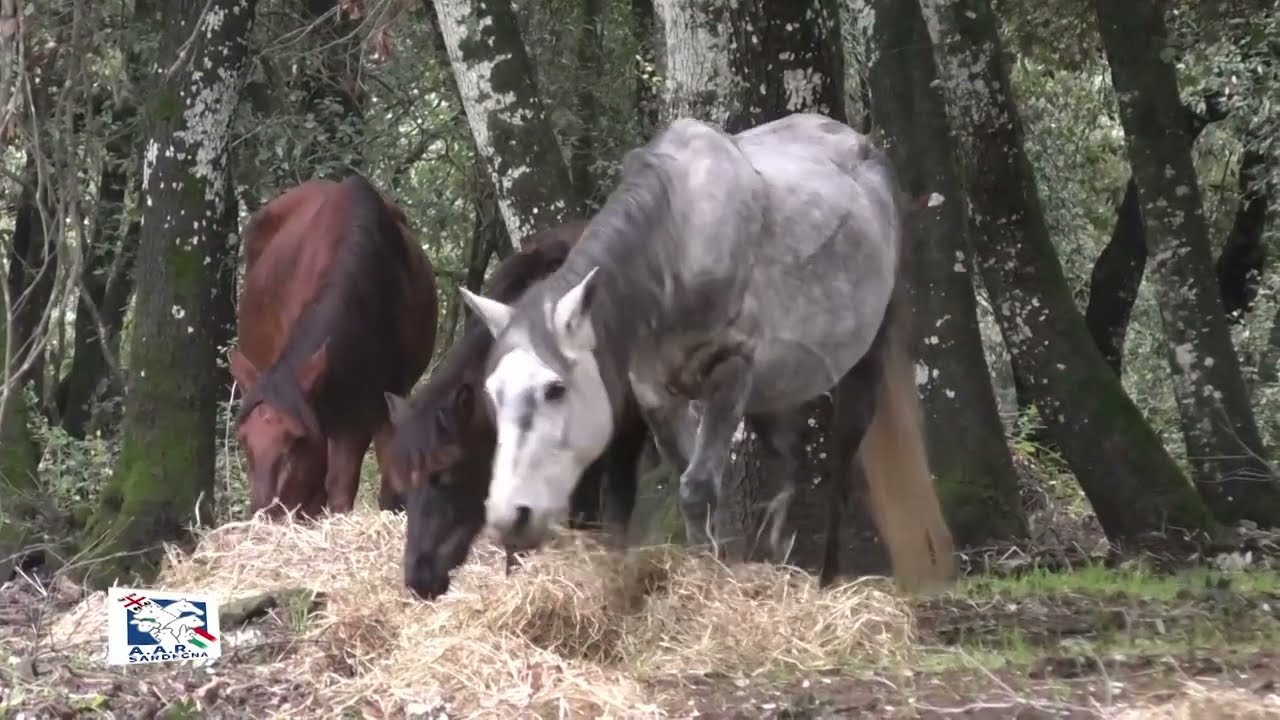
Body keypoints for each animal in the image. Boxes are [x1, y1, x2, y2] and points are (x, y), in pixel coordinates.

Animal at [458, 113, 956, 591]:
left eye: (555, 389)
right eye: (493, 393)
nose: (509, 517)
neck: (677, 243)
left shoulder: (730, 370)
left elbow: (697, 488)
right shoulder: (656, 393)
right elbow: (693, 482)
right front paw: (712, 561)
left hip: (864, 363)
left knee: (840, 465)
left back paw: (828, 578)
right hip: (775, 389)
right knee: (791, 457)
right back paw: (776, 543)